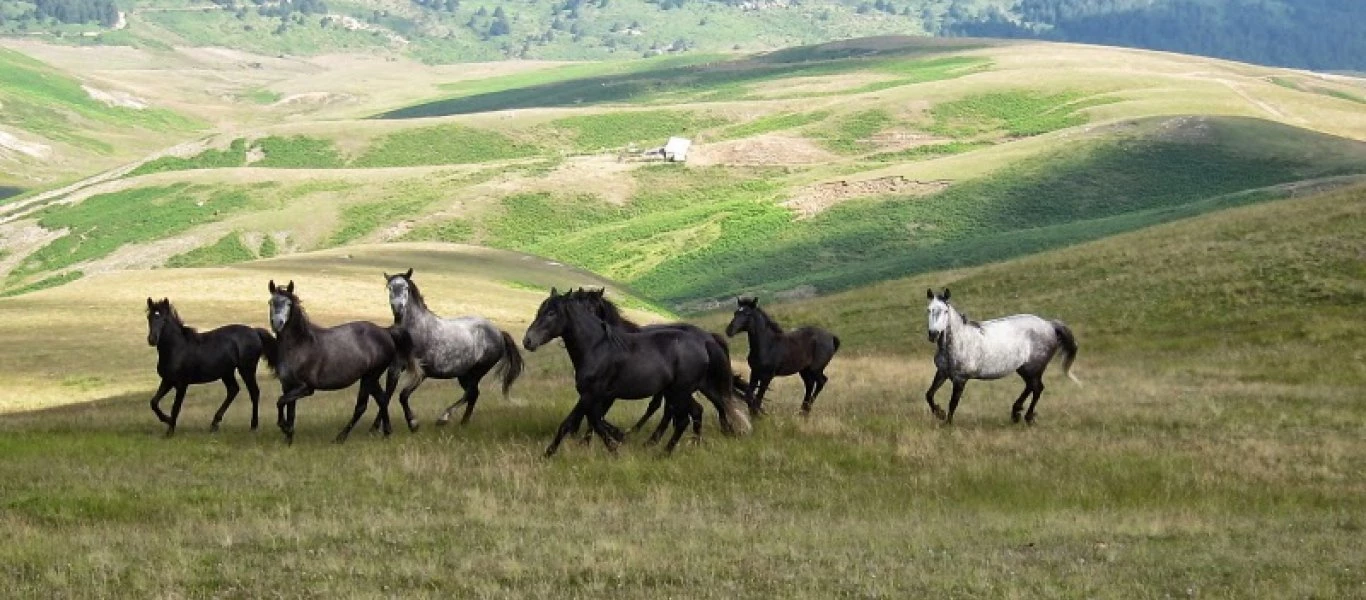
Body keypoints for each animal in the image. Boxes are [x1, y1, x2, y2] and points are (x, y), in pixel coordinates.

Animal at [144, 299, 277, 437]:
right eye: (149, 317)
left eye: (164, 319)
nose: (152, 339)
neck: (177, 349)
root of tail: (255, 331)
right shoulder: (167, 380)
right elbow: (154, 402)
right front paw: (167, 420)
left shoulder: (182, 384)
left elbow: (175, 407)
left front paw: (170, 430)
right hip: (227, 372)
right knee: (233, 390)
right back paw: (214, 423)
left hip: (247, 369)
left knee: (254, 392)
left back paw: (253, 426)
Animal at [267, 280, 409, 442]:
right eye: (270, 302)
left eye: (288, 303)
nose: (277, 323)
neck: (299, 345)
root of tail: (386, 332)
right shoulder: (287, 386)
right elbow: (290, 412)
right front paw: (288, 440)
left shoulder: (306, 388)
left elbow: (280, 401)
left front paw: (283, 427)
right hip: (369, 378)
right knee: (381, 400)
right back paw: (386, 432)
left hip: (371, 376)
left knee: (363, 405)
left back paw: (341, 437)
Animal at [377, 270, 524, 434]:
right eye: (389, 287)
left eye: (406, 288)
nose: (398, 307)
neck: (414, 330)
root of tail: (499, 332)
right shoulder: (395, 368)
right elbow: (386, 396)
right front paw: (376, 428)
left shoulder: (422, 373)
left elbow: (403, 396)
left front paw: (413, 424)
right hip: (464, 375)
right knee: (473, 395)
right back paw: (463, 423)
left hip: (477, 371)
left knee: (471, 393)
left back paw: (444, 418)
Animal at [519, 288, 748, 459]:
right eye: (540, 311)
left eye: (551, 313)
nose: (528, 341)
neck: (597, 347)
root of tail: (704, 341)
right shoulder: (593, 396)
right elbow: (586, 421)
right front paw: (549, 454)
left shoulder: (593, 394)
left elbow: (586, 421)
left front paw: (614, 447)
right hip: (681, 391)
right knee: (698, 410)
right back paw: (690, 444)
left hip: (680, 391)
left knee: (686, 417)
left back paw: (664, 452)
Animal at [923, 288, 1081, 426]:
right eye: (929, 309)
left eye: (945, 311)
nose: (933, 334)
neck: (959, 341)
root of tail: (1049, 325)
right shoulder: (942, 372)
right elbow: (929, 394)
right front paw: (939, 413)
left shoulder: (960, 378)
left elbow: (953, 403)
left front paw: (947, 424)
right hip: (1024, 369)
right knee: (1031, 386)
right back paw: (1016, 413)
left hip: (1034, 368)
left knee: (1037, 388)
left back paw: (1027, 417)